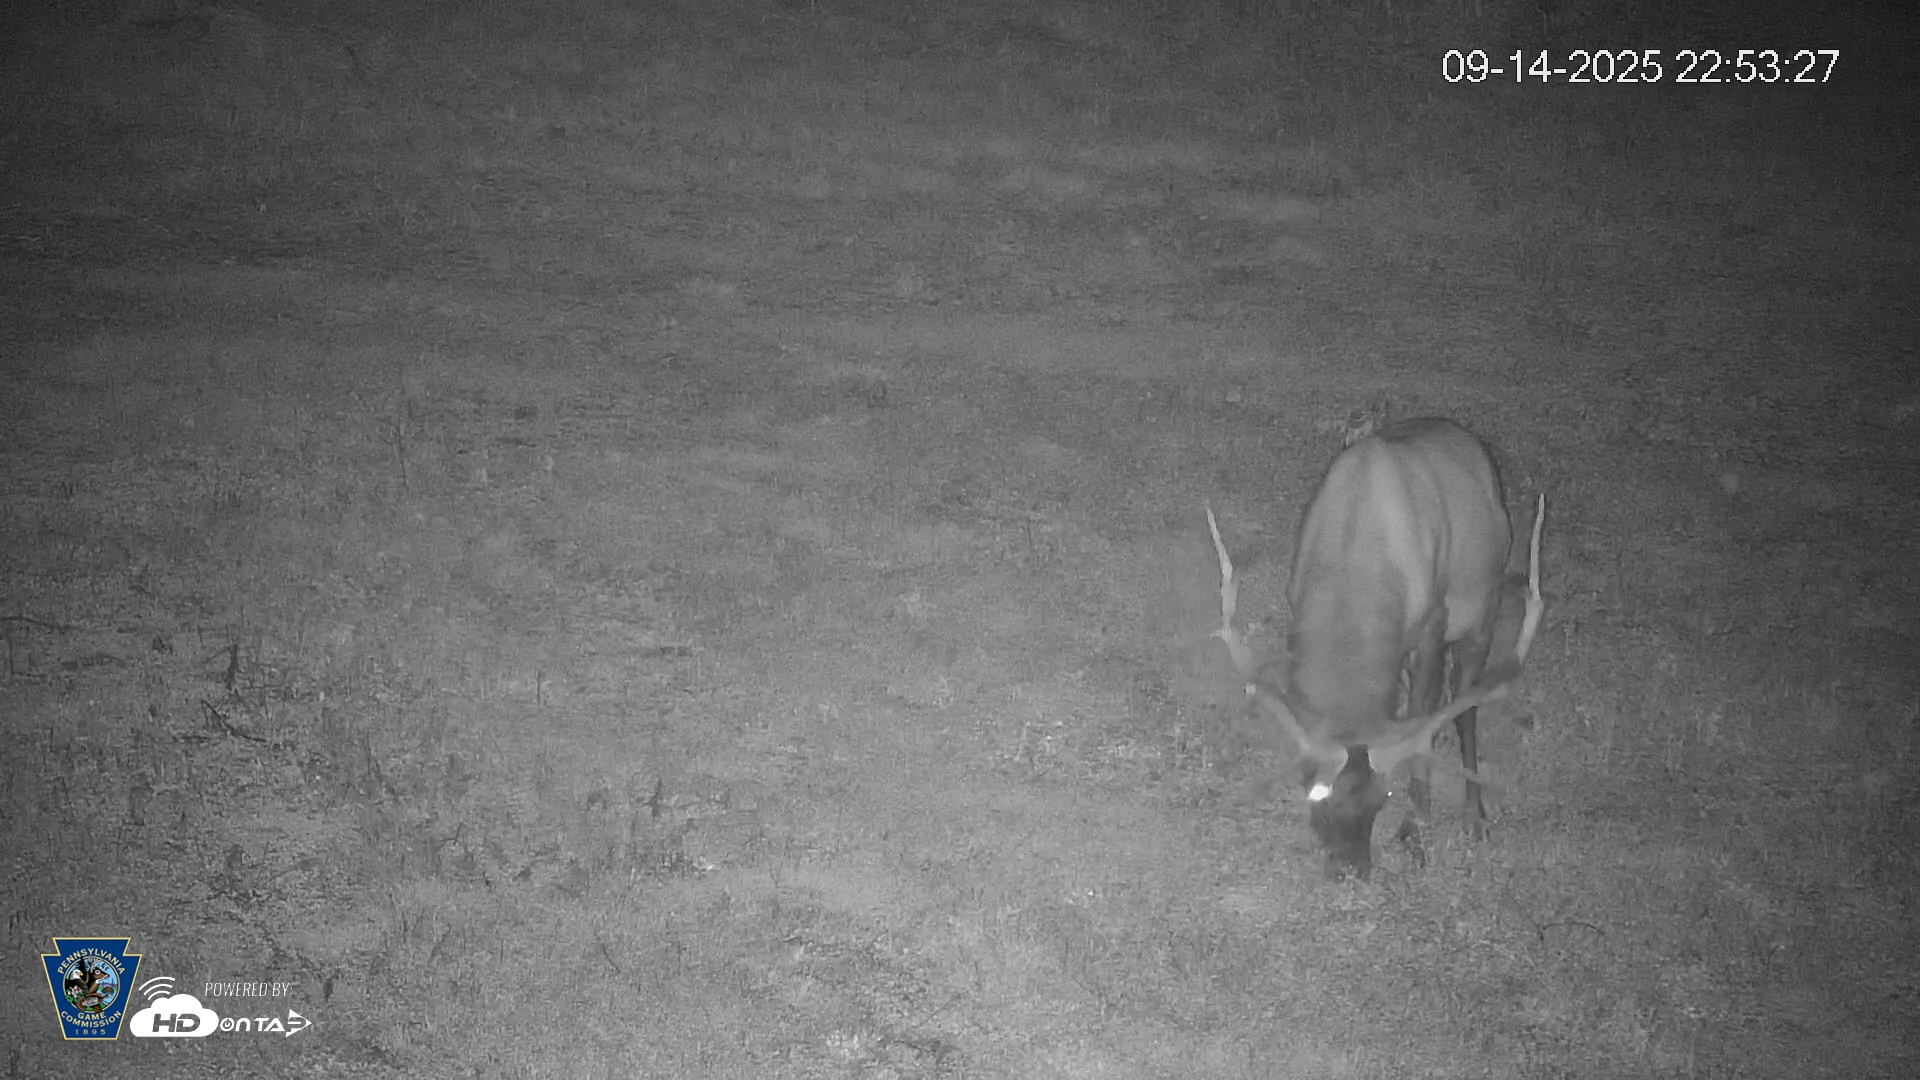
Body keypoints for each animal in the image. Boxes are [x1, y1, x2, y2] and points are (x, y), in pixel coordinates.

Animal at [1209, 417, 1545, 879]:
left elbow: (1424, 714)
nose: (1353, 870)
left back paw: (1475, 816)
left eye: (1382, 798)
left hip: (1483, 609)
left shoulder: (1434, 620)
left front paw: (1416, 827)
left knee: (1465, 707)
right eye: (1316, 794)